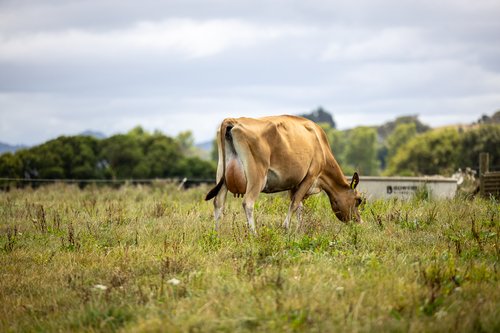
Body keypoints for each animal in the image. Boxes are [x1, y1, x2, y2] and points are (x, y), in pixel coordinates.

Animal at [205, 115, 362, 232]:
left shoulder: (295, 183)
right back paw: (254, 234)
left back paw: (216, 234)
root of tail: (234, 120)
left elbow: (299, 207)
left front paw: (299, 230)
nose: (359, 222)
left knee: (218, 203)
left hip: (221, 173)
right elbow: (295, 204)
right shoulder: (310, 175)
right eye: (359, 200)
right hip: (257, 176)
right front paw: (287, 228)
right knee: (248, 203)